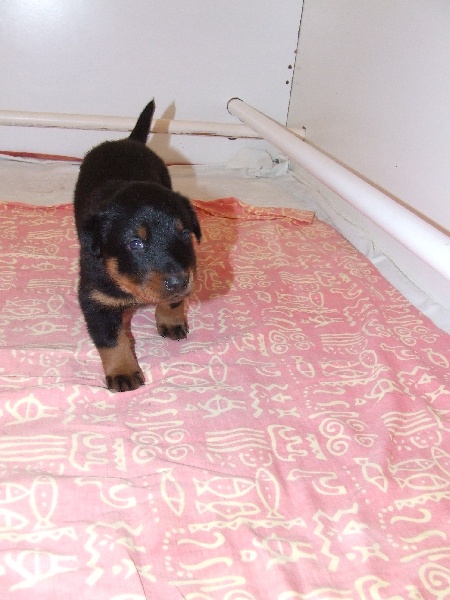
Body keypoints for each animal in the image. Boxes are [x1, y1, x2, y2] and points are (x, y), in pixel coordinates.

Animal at [74, 100, 201, 392]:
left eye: (184, 233)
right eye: (135, 243)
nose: (179, 281)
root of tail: (128, 139)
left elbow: (174, 302)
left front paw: (170, 320)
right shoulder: (95, 299)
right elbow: (112, 340)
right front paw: (123, 372)